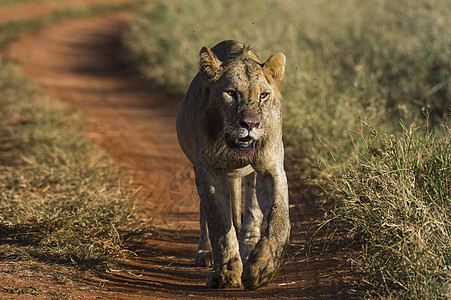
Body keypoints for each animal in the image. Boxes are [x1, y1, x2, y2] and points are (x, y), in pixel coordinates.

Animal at [177, 39, 290, 288]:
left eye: (263, 95)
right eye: (231, 93)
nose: (250, 124)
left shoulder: (271, 168)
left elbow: (280, 219)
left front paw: (262, 268)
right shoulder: (208, 170)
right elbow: (220, 224)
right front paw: (226, 274)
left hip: (251, 176)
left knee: (253, 212)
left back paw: (249, 251)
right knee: (205, 215)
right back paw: (205, 254)